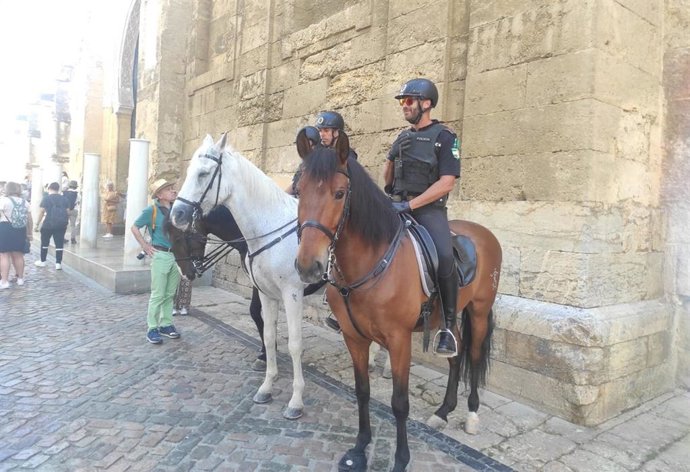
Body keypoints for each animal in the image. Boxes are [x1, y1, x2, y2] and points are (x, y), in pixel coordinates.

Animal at [293, 130, 502, 472]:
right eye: (298, 191)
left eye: (339, 193)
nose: (308, 266)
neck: (370, 262)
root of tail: (484, 233)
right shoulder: (354, 337)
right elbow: (362, 391)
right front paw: (360, 447)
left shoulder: (399, 340)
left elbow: (399, 403)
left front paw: (401, 459)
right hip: (449, 316)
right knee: (455, 354)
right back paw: (443, 411)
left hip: (480, 311)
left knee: (471, 357)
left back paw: (471, 414)